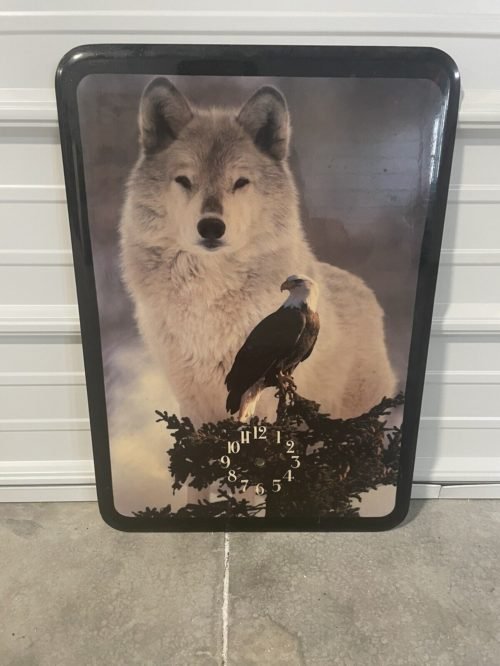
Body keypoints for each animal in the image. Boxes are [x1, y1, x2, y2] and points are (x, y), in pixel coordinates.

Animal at [120, 78, 396, 427]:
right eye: (184, 180)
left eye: (240, 182)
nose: (211, 227)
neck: (208, 295)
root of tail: (367, 291)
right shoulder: (193, 397)